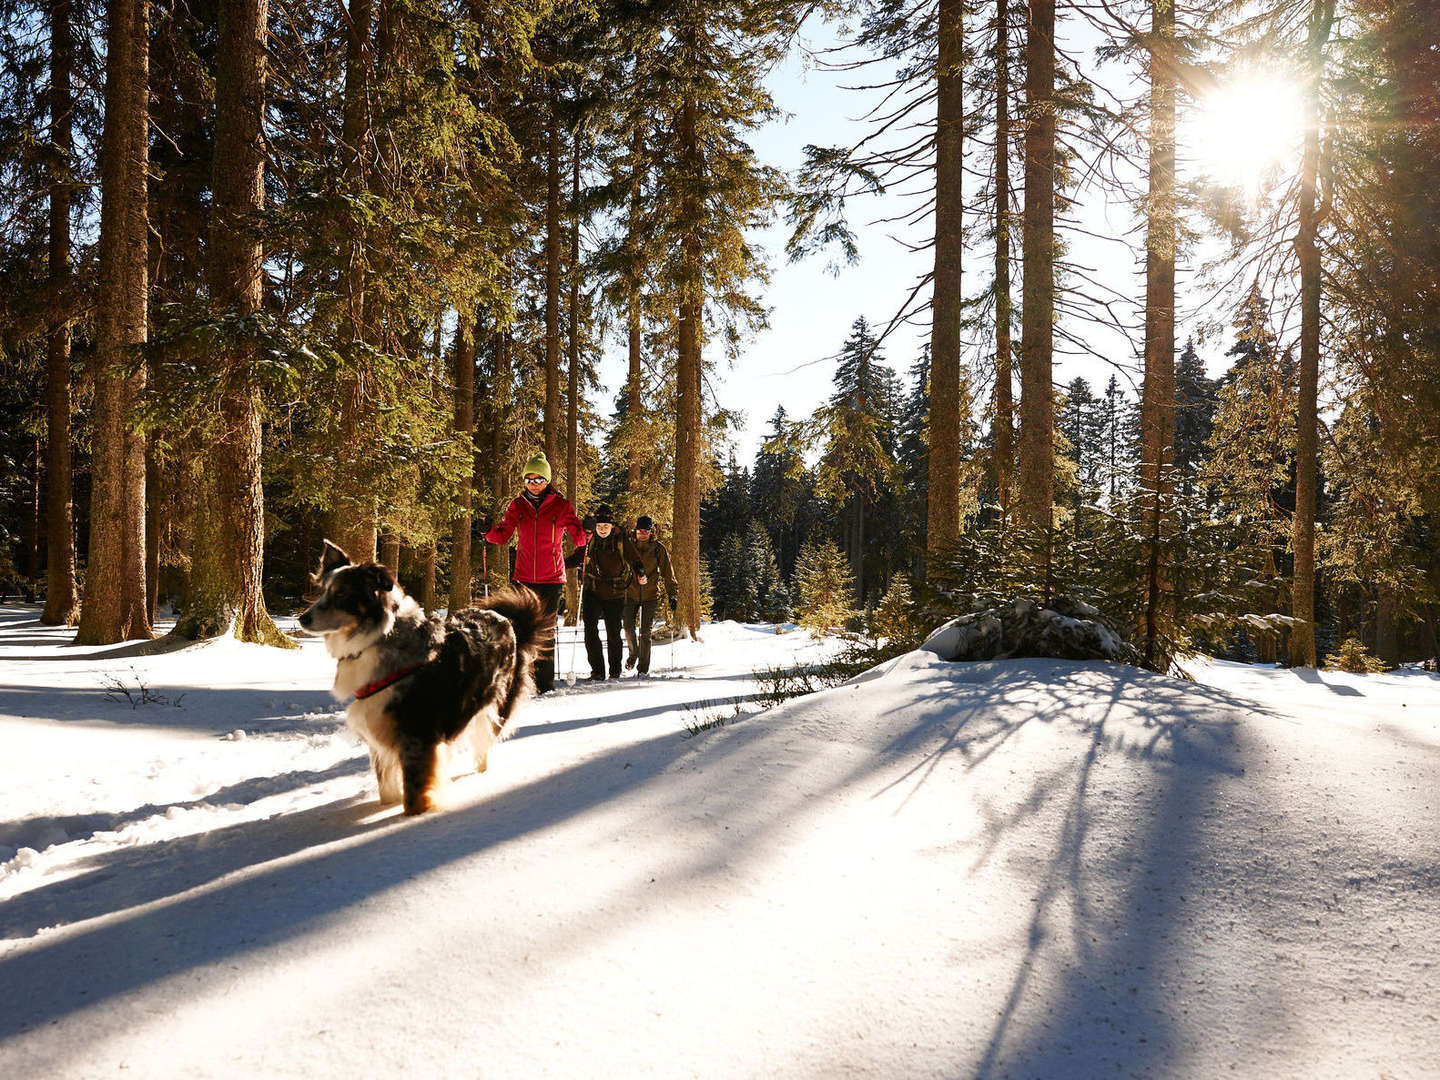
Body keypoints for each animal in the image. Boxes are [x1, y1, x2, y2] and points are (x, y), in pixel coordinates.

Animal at [298, 544, 550, 817]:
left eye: (342, 593)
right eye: (322, 591)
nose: (303, 618)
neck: (380, 637)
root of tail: (504, 618)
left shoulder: (417, 732)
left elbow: (414, 790)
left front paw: (415, 816)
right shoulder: (379, 729)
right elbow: (386, 786)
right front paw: (388, 805)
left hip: (495, 706)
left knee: (484, 742)